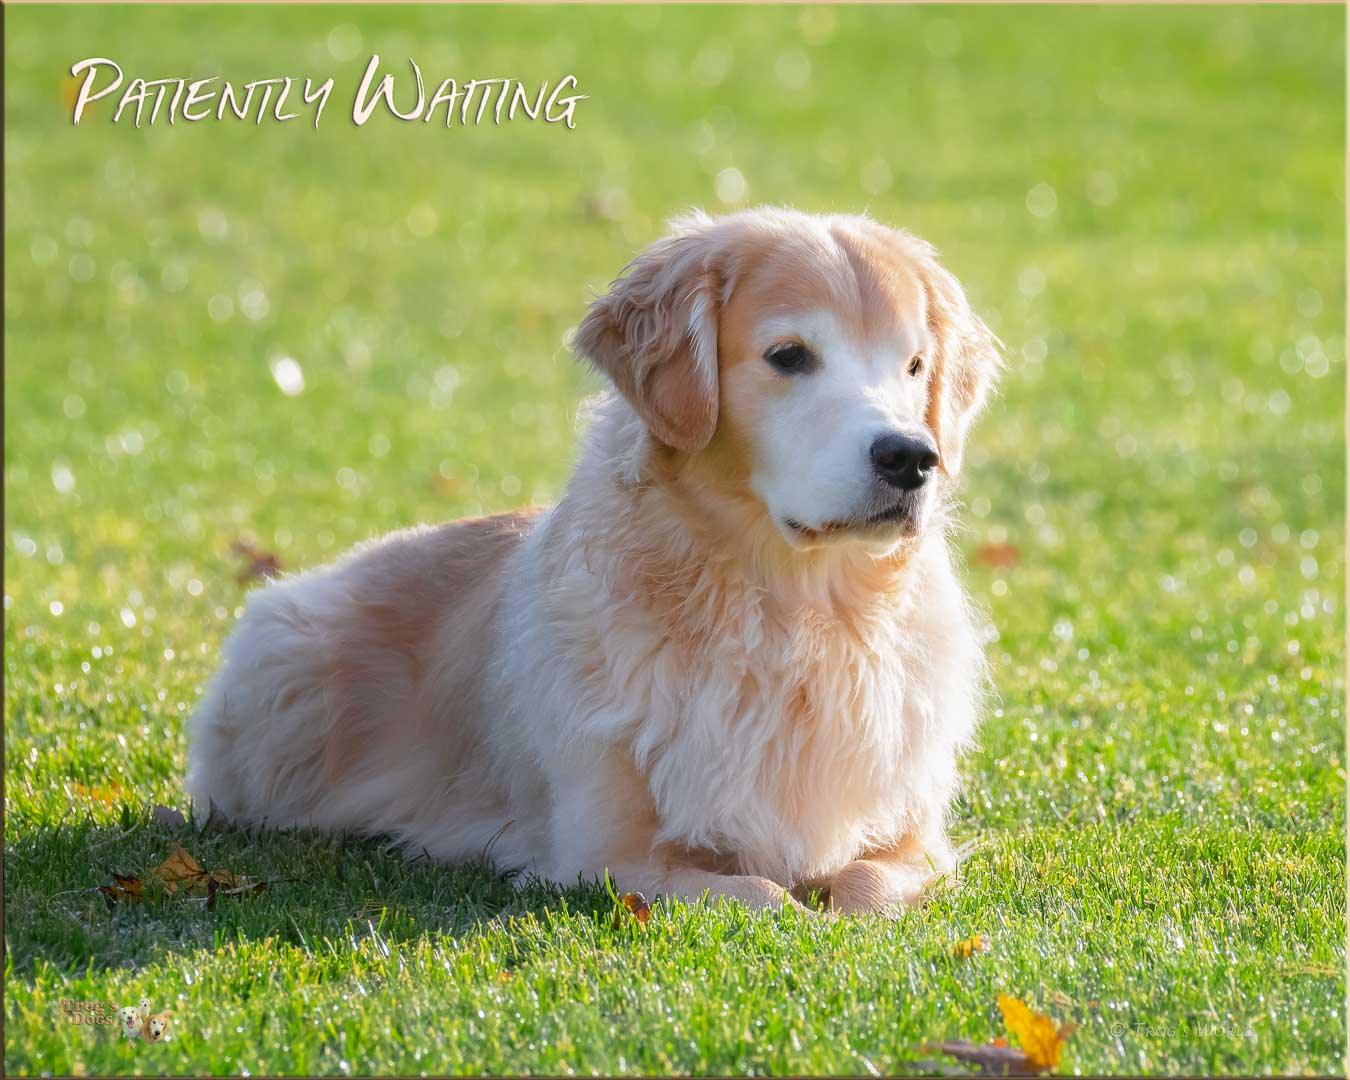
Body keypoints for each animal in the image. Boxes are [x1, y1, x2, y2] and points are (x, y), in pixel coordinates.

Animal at [184, 206, 999, 918]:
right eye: (789, 356)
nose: (912, 458)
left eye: (914, 365)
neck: (795, 612)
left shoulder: (920, 844)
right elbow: (764, 899)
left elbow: (865, 886)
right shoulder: (605, 856)